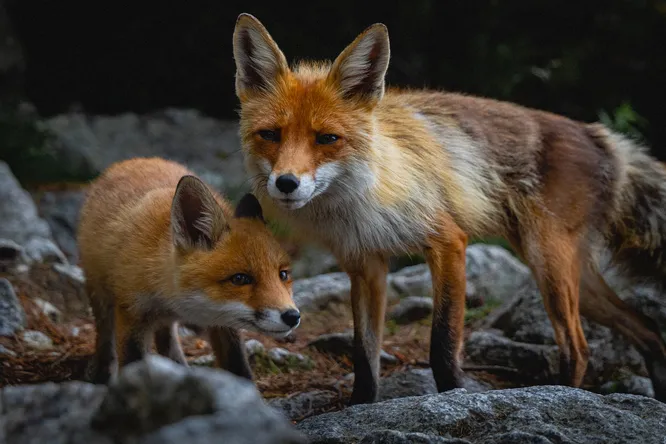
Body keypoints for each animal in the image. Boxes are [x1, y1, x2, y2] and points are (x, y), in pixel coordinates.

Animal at [76, 158, 300, 384]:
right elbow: (132, 364)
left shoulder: (224, 323)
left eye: (283, 275)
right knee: (105, 335)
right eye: (240, 278)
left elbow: (238, 367)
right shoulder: (132, 313)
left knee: (166, 339)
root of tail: (131, 161)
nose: (292, 316)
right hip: (100, 295)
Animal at [231, 13, 664, 404]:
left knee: (579, 347)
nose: (286, 183)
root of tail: (599, 134)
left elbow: (442, 343)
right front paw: (359, 406)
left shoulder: (449, 242)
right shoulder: (365, 264)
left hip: (549, 265)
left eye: (327, 139)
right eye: (270, 135)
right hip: (573, 276)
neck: (360, 200)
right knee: (647, 329)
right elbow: (364, 355)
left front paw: (454, 396)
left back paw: (562, 395)